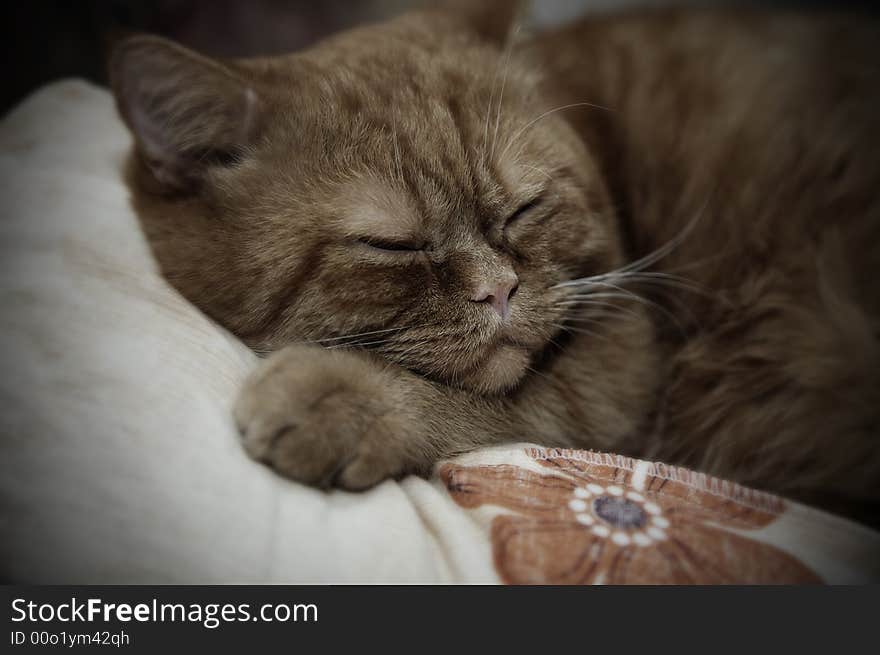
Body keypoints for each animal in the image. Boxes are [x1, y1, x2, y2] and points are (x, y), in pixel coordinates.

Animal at [108, 0, 880, 524]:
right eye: (393, 245)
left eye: (524, 208)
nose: (500, 290)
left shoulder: (625, 355)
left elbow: (506, 403)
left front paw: (347, 395)